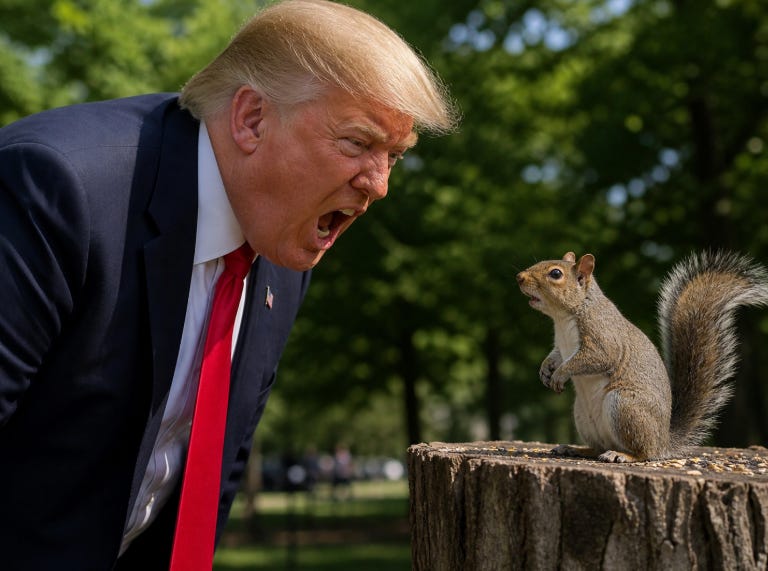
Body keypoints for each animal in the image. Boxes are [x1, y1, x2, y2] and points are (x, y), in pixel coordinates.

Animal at [516, 250, 768, 462]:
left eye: (555, 273)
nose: (519, 277)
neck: (564, 317)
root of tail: (663, 443)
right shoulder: (561, 345)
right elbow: (556, 355)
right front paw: (546, 368)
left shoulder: (603, 336)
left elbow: (596, 358)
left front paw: (561, 373)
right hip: (583, 415)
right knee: (598, 448)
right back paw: (575, 449)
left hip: (625, 406)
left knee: (643, 453)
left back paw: (622, 455)